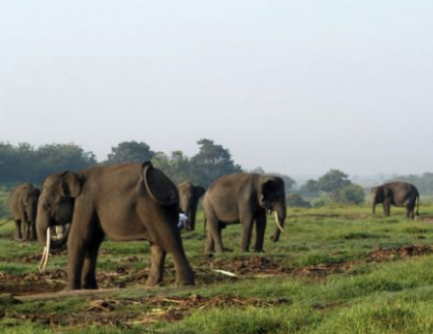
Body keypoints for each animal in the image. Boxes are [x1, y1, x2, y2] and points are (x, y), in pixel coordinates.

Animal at [35, 162, 194, 290]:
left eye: (47, 205)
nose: (40, 269)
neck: (76, 174)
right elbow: (93, 242)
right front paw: (89, 287)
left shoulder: (85, 202)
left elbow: (79, 239)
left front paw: (68, 290)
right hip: (163, 208)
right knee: (157, 245)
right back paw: (150, 285)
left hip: (153, 208)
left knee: (169, 240)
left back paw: (183, 284)